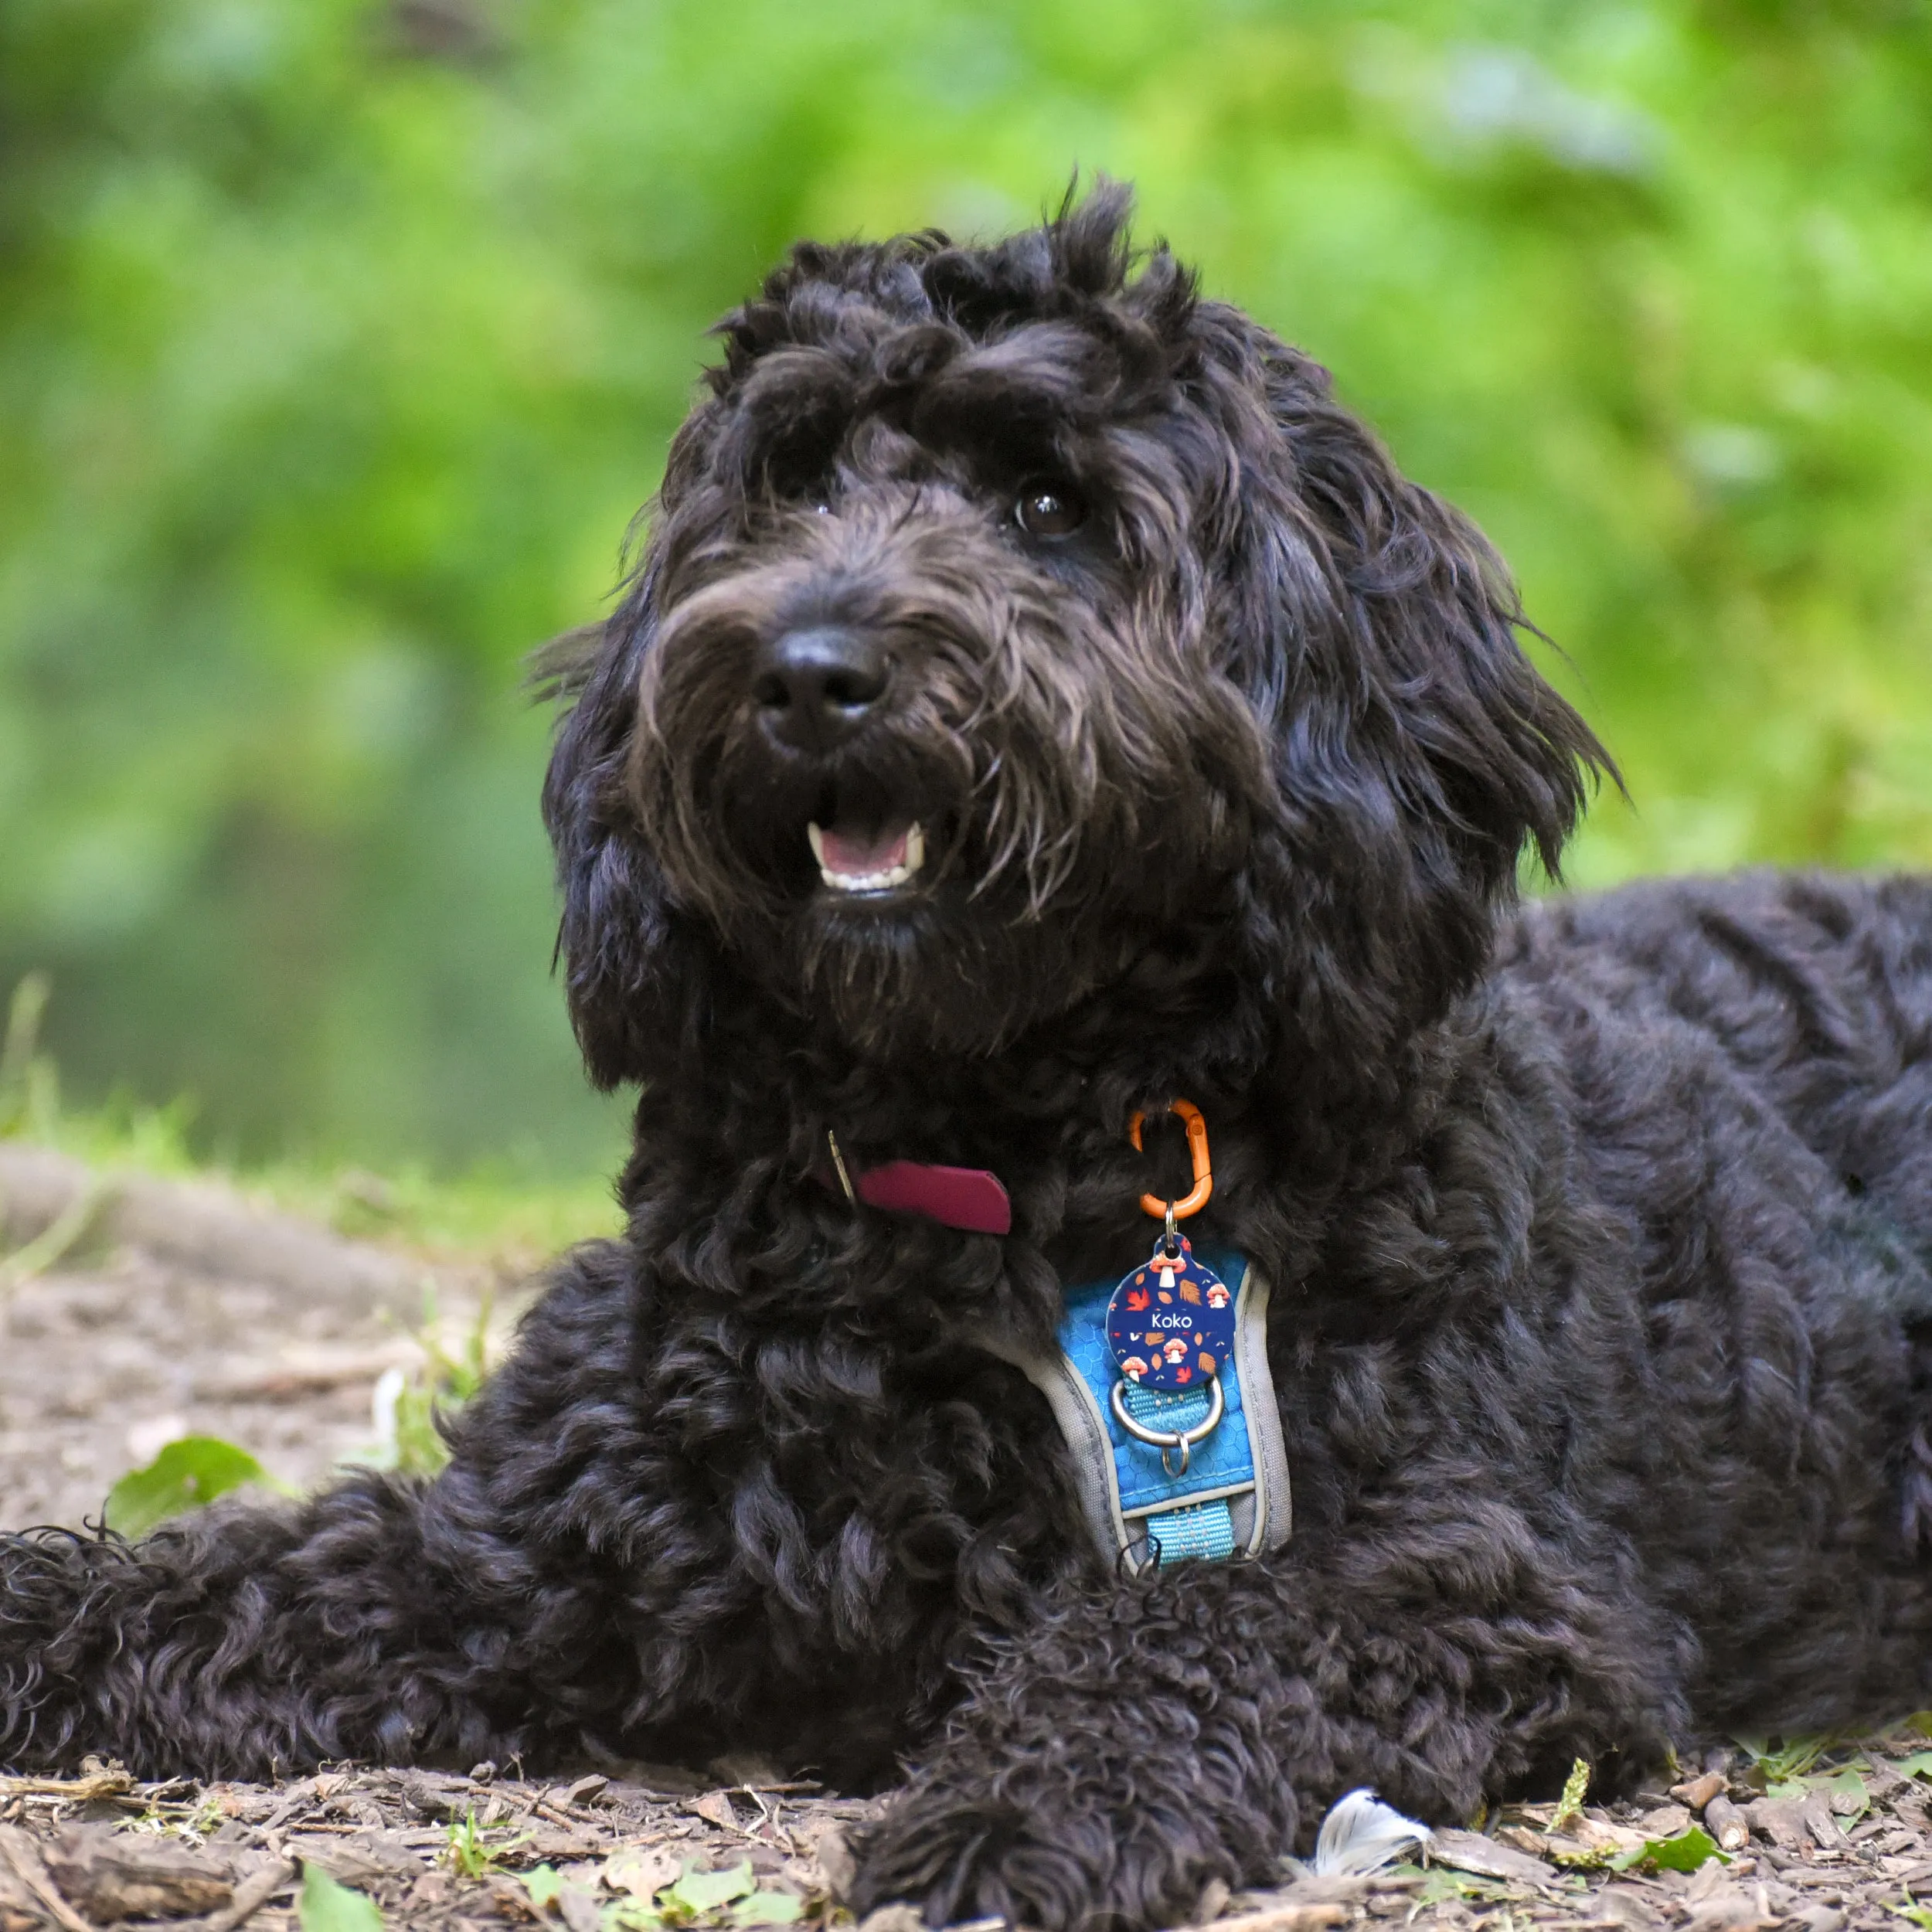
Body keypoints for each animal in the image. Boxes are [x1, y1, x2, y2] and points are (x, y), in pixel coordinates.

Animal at [3, 184, 1932, 1932]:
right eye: (787, 482)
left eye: (1047, 501)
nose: (803, 669)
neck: (994, 1157)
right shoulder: (551, 1535)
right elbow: (261, 1572)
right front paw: (38, 1618)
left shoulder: (1476, 1577)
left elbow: (1188, 1626)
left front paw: (1018, 1809)